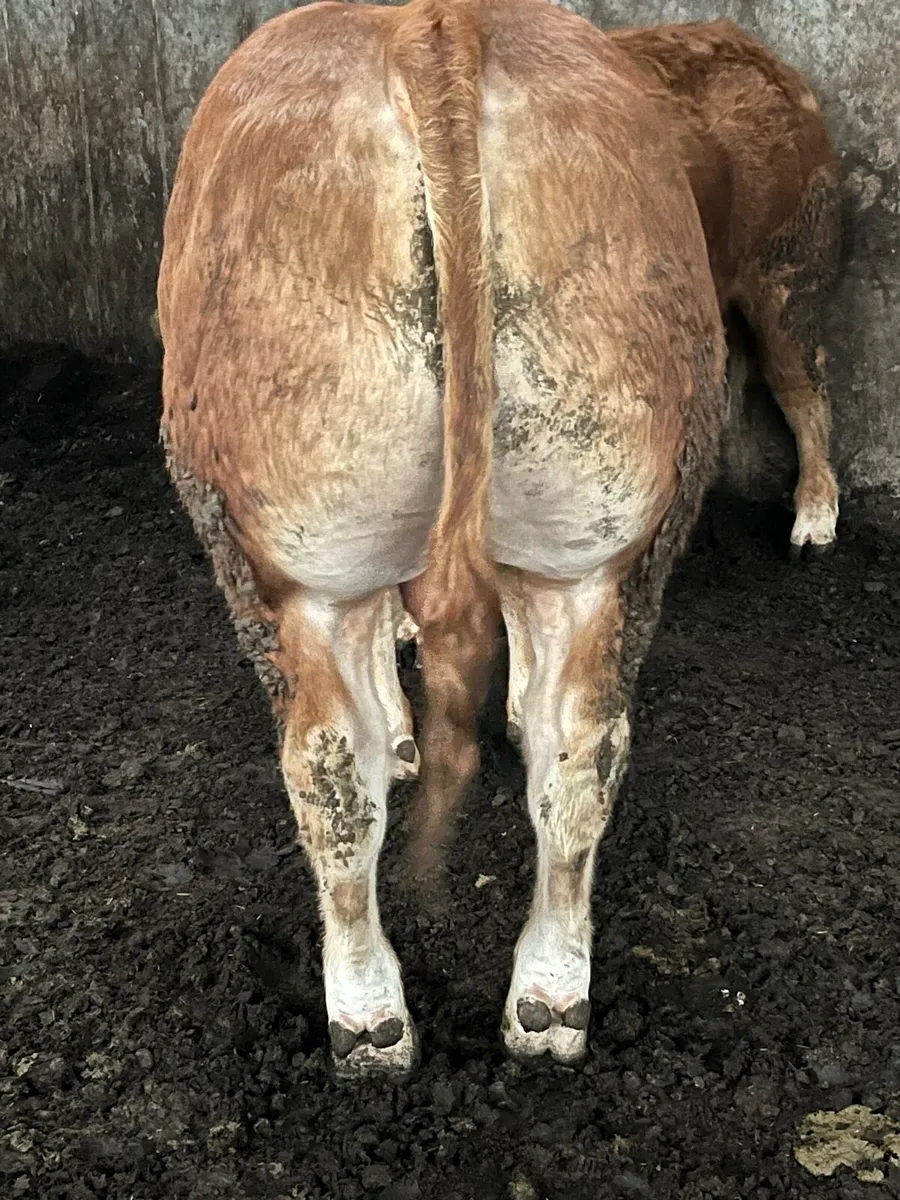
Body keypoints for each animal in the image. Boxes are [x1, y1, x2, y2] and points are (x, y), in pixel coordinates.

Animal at [157, 0, 726, 1077]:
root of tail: (435, 25)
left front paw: (406, 730)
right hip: (608, 531)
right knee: (582, 752)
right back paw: (549, 1000)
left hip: (292, 554)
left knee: (329, 770)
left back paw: (368, 1018)